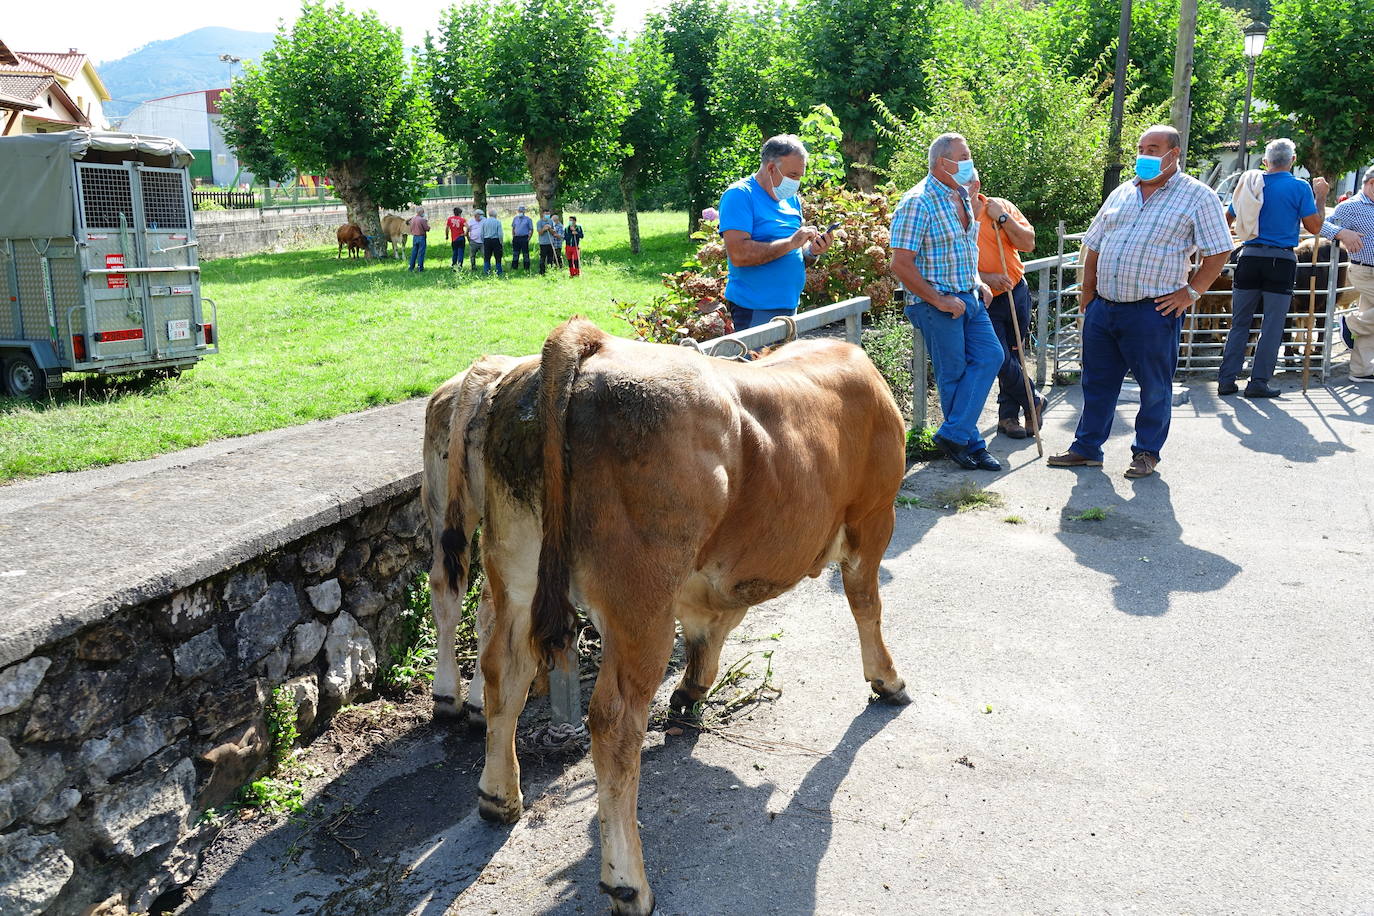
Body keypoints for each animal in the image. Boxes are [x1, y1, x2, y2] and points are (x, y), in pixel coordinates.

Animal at [436, 318, 912, 911]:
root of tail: (590, 343)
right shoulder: (873, 516)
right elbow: (866, 603)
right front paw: (886, 678)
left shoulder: (713, 569)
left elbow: (712, 626)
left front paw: (692, 689)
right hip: (640, 601)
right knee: (614, 721)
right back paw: (628, 881)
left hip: (515, 569)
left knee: (505, 673)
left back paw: (499, 797)